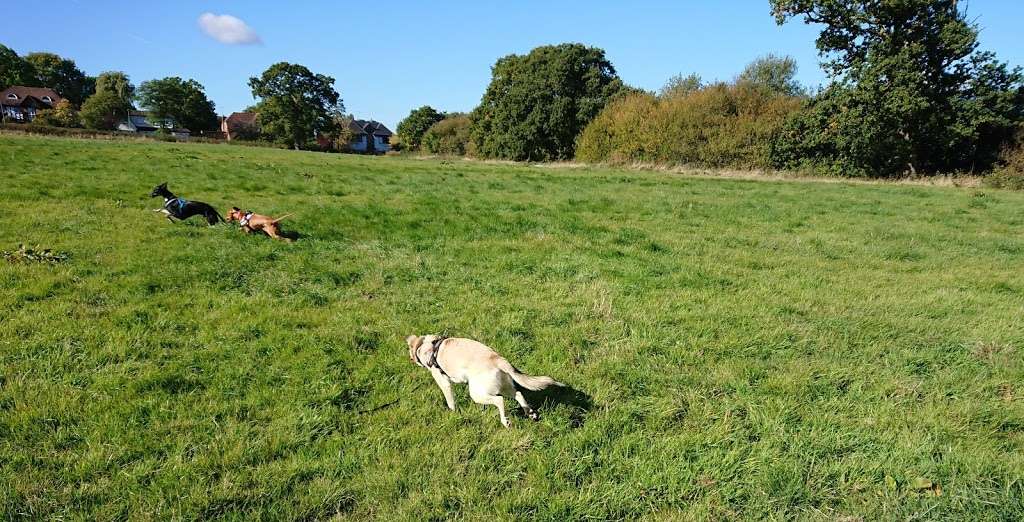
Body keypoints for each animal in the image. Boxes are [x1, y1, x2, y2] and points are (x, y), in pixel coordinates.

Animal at [405, 333, 565, 427]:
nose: (410, 359)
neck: (426, 345)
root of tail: (498, 359)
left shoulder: (443, 381)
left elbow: (451, 402)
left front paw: (453, 413)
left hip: (477, 393)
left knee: (499, 401)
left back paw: (505, 421)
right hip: (503, 386)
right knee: (518, 394)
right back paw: (530, 413)